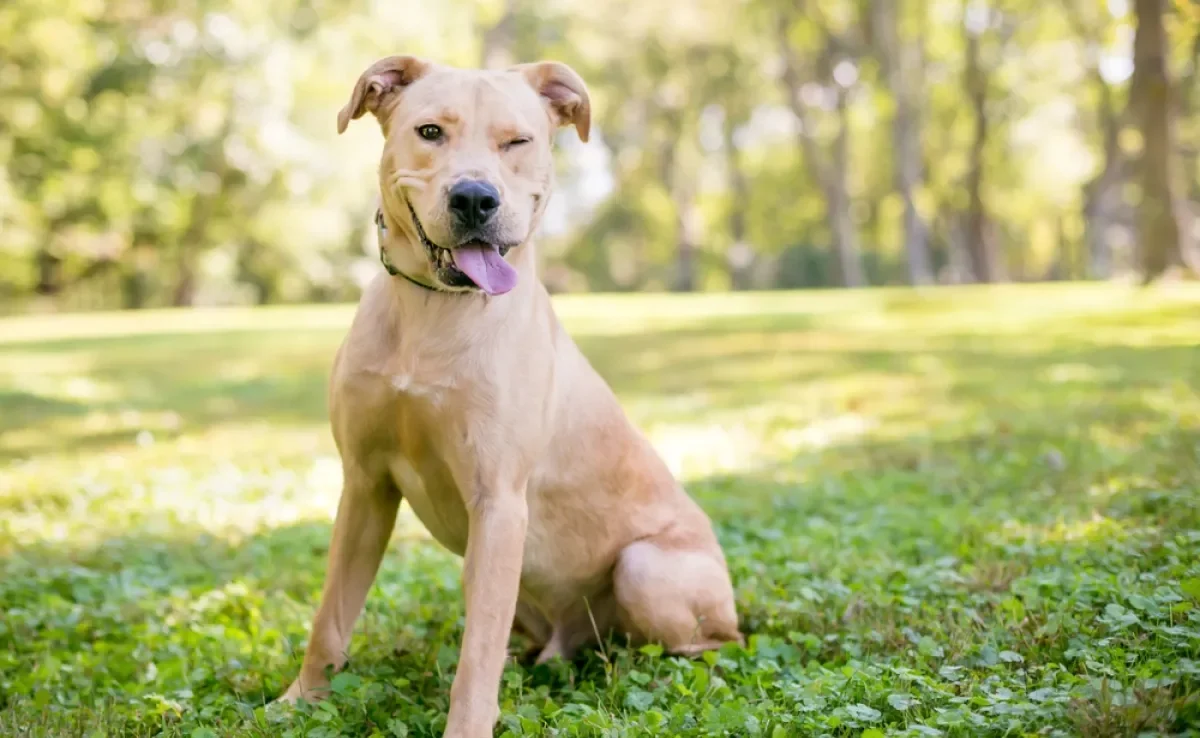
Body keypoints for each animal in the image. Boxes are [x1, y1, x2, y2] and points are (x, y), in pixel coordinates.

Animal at [279, 56, 739, 738]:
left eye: (517, 142)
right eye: (430, 132)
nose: (475, 197)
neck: (433, 311)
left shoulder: (497, 501)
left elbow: (475, 660)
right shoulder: (364, 485)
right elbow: (331, 614)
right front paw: (301, 700)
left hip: (645, 570)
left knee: (706, 644)